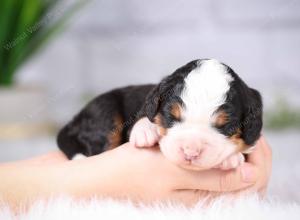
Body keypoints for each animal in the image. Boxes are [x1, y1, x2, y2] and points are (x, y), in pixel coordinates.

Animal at [56, 58, 262, 170]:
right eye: (172, 117)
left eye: (226, 127)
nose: (190, 151)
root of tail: (74, 120)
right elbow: (145, 116)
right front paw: (146, 132)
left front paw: (232, 158)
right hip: (104, 112)